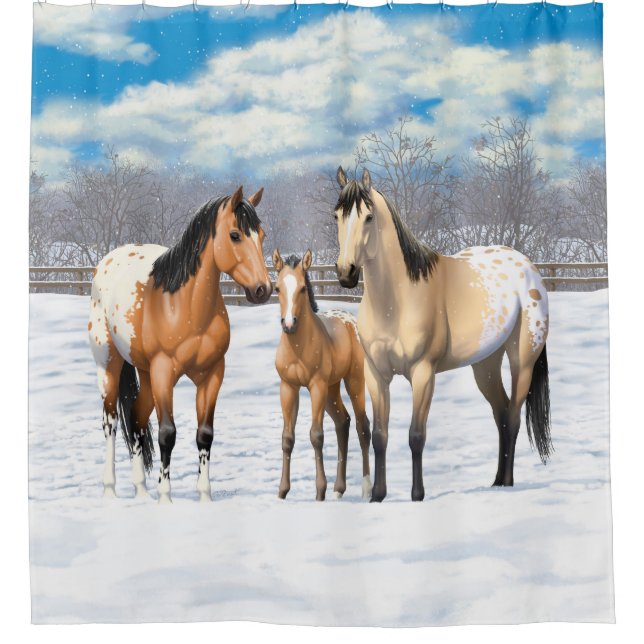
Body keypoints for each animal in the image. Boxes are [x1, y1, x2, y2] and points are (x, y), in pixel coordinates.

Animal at [89, 186, 272, 502]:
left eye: (261, 235)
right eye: (235, 234)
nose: (263, 289)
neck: (184, 307)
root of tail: (107, 261)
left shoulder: (212, 374)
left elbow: (205, 434)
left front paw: (204, 496)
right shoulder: (164, 372)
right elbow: (167, 434)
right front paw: (165, 497)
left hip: (146, 374)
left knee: (136, 420)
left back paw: (140, 490)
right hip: (109, 365)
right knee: (111, 422)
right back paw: (110, 490)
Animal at [272, 249, 372, 501]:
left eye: (302, 288)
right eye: (277, 288)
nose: (289, 324)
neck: (299, 346)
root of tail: (350, 320)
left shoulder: (316, 386)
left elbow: (316, 435)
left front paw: (320, 491)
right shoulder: (288, 387)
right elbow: (287, 438)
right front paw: (282, 491)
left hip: (353, 381)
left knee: (362, 426)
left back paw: (366, 489)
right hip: (331, 389)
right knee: (342, 422)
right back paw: (339, 489)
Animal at [332, 167, 552, 502]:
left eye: (368, 217)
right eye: (336, 216)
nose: (346, 273)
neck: (397, 300)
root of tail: (529, 268)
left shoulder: (423, 373)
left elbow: (416, 435)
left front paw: (417, 495)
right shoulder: (376, 374)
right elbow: (380, 435)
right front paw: (378, 496)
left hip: (522, 361)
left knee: (513, 417)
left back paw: (508, 483)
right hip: (485, 366)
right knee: (501, 415)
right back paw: (496, 481)